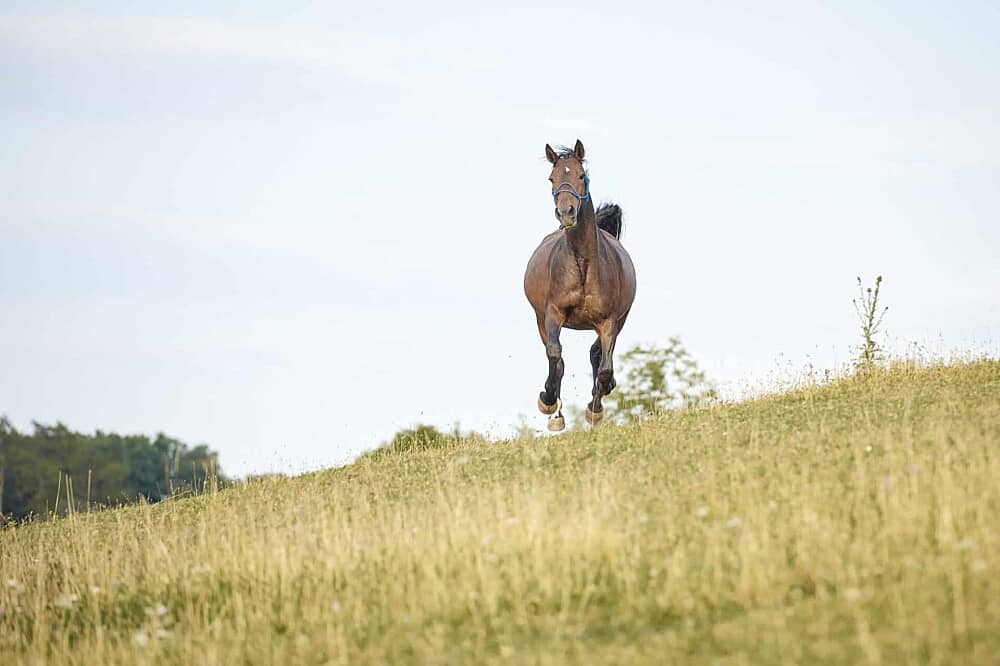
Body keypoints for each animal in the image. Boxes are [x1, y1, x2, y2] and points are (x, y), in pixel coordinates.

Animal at [523, 140, 637, 431]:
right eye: (551, 178)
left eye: (581, 175)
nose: (566, 213)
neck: (583, 265)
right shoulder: (553, 313)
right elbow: (555, 355)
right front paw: (547, 400)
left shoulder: (608, 321)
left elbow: (604, 367)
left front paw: (595, 408)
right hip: (540, 319)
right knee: (558, 360)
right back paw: (556, 413)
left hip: (620, 321)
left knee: (597, 355)